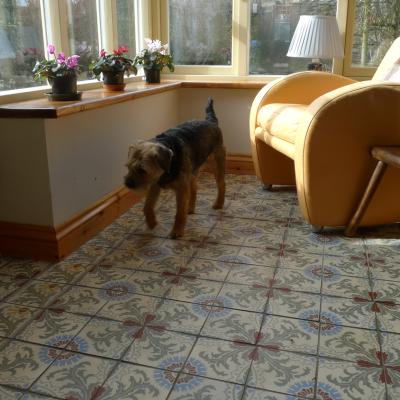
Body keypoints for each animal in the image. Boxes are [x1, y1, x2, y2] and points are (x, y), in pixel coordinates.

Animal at [125, 98, 225, 238]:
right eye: (128, 167)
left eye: (142, 170)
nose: (128, 184)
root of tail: (211, 121)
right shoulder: (155, 184)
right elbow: (147, 206)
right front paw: (151, 222)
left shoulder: (181, 189)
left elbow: (179, 213)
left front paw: (177, 230)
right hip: (192, 172)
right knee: (194, 188)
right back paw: (190, 207)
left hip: (216, 163)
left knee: (221, 184)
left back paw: (218, 203)